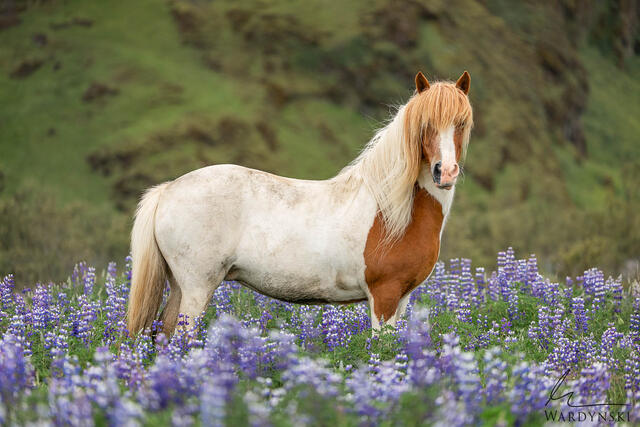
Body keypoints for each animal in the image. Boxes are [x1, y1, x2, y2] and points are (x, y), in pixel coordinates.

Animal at [127, 71, 473, 336]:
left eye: (461, 123)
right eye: (426, 124)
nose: (445, 172)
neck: (393, 212)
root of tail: (168, 190)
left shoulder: (400, 299)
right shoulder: (383, 296)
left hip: (179, 287)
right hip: (198, 288)